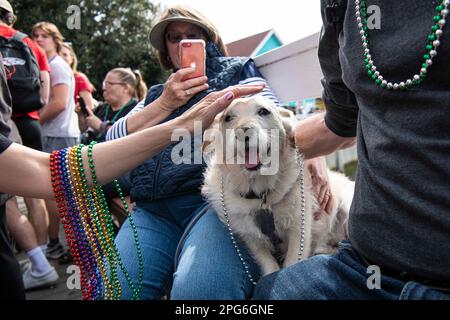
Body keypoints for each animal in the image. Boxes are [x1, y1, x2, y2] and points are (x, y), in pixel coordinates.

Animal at [201, 95, 356, 276]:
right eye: (228, 118)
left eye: (263, 111)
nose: (243, 131)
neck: (260, 194)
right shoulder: (250, 236)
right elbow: (269, 266)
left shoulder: (298, 229)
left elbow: (292, 263)